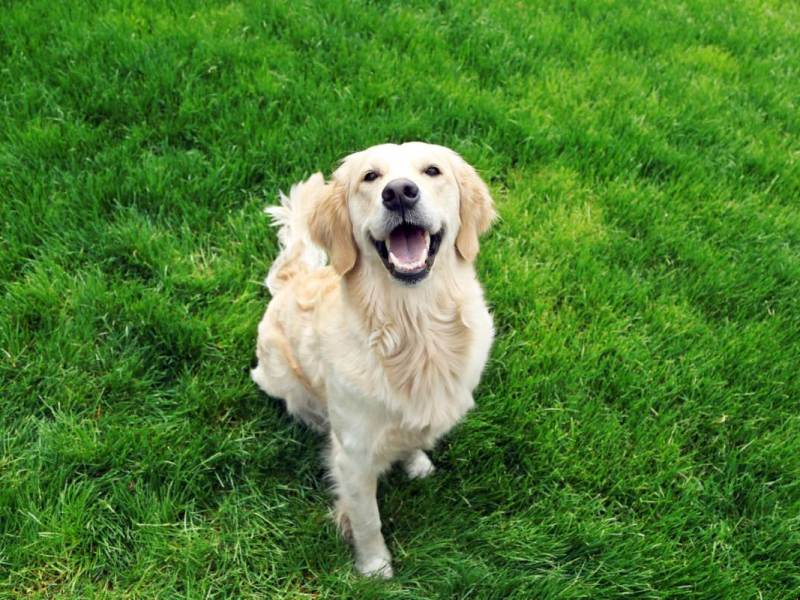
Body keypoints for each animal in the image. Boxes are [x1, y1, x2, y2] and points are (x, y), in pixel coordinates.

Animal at [253, 141, 496, 576]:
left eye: (432, 171)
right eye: (370, 177)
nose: (399, 192)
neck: (414, 329)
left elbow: (411, 436)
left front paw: (416, 462)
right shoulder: (353, 455)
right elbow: (367, 518)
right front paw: (374, 568)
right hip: (278, 374)